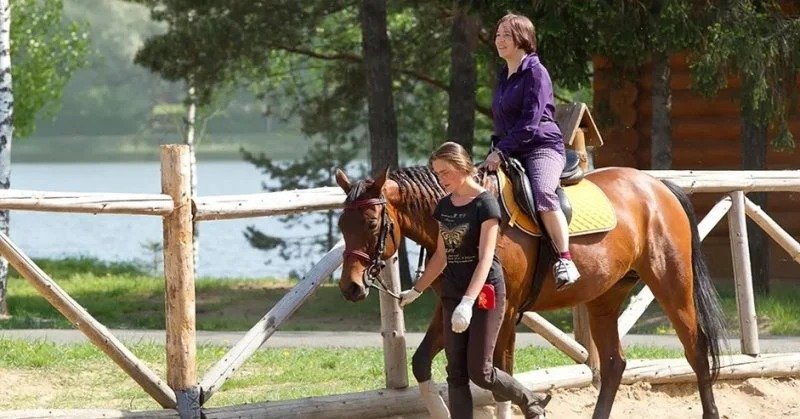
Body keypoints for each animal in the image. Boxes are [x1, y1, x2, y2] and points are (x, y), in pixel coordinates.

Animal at [334, 166, 728, 418]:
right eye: (340, 224)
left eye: (371, 224)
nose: (350, 286)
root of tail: (656, 186)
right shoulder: (451, 309)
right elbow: (423, 364)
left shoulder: (505, 313)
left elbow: (497, 376)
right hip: (605, 298)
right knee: (614, 364)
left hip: (672, 284)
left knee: (696, 350)